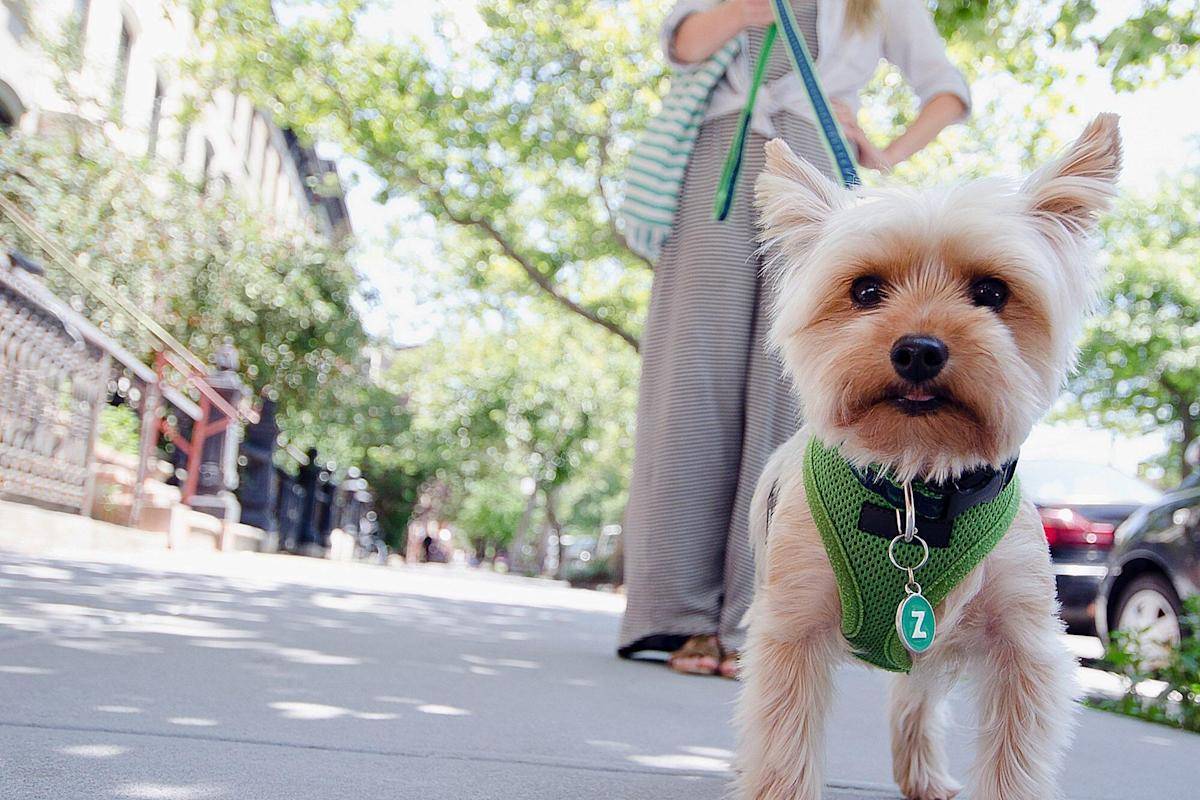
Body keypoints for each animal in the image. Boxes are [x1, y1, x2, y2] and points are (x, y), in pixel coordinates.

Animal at [734, 113, 1118, 800]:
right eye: (865, 290)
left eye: (991, 291)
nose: (918, 350)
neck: (915, 482)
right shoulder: (790, 629)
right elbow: (781, 749)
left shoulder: (1024, 646)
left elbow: (1014, 763)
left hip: (928, 641)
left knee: (913, 700)